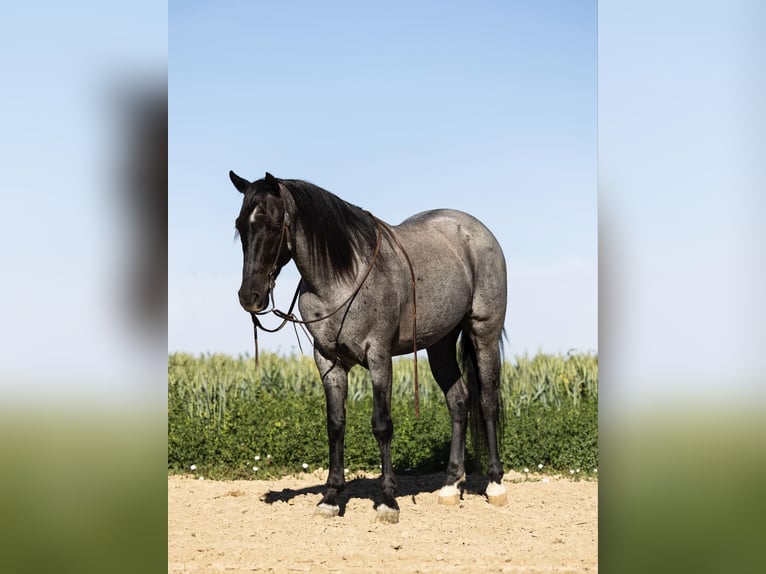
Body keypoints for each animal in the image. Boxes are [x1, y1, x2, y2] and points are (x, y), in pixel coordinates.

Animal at [229, 171, 508, 523]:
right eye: (240, 225)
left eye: (274, 224)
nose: (249, 297)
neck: (342, 277)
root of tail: (477, 231)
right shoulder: (328, 361)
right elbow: (336, 424)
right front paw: (331, 496)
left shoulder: (379, 357)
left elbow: (382, 424)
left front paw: (387, 500)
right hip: (440, 344)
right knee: (458, 402)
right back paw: (449, 485)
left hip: (483, 334)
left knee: (487, 402)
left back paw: (495, 484)